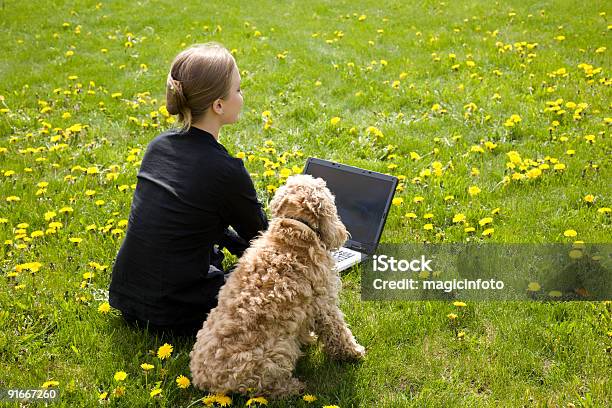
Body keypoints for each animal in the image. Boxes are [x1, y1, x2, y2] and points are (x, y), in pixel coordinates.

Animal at [189, 173, 366, 398]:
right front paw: (353, 353)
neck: (295, 228)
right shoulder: (324, 303)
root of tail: (206, 383)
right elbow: (339, 332)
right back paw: (294, 387)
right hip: (277, 353)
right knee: (267, 387)